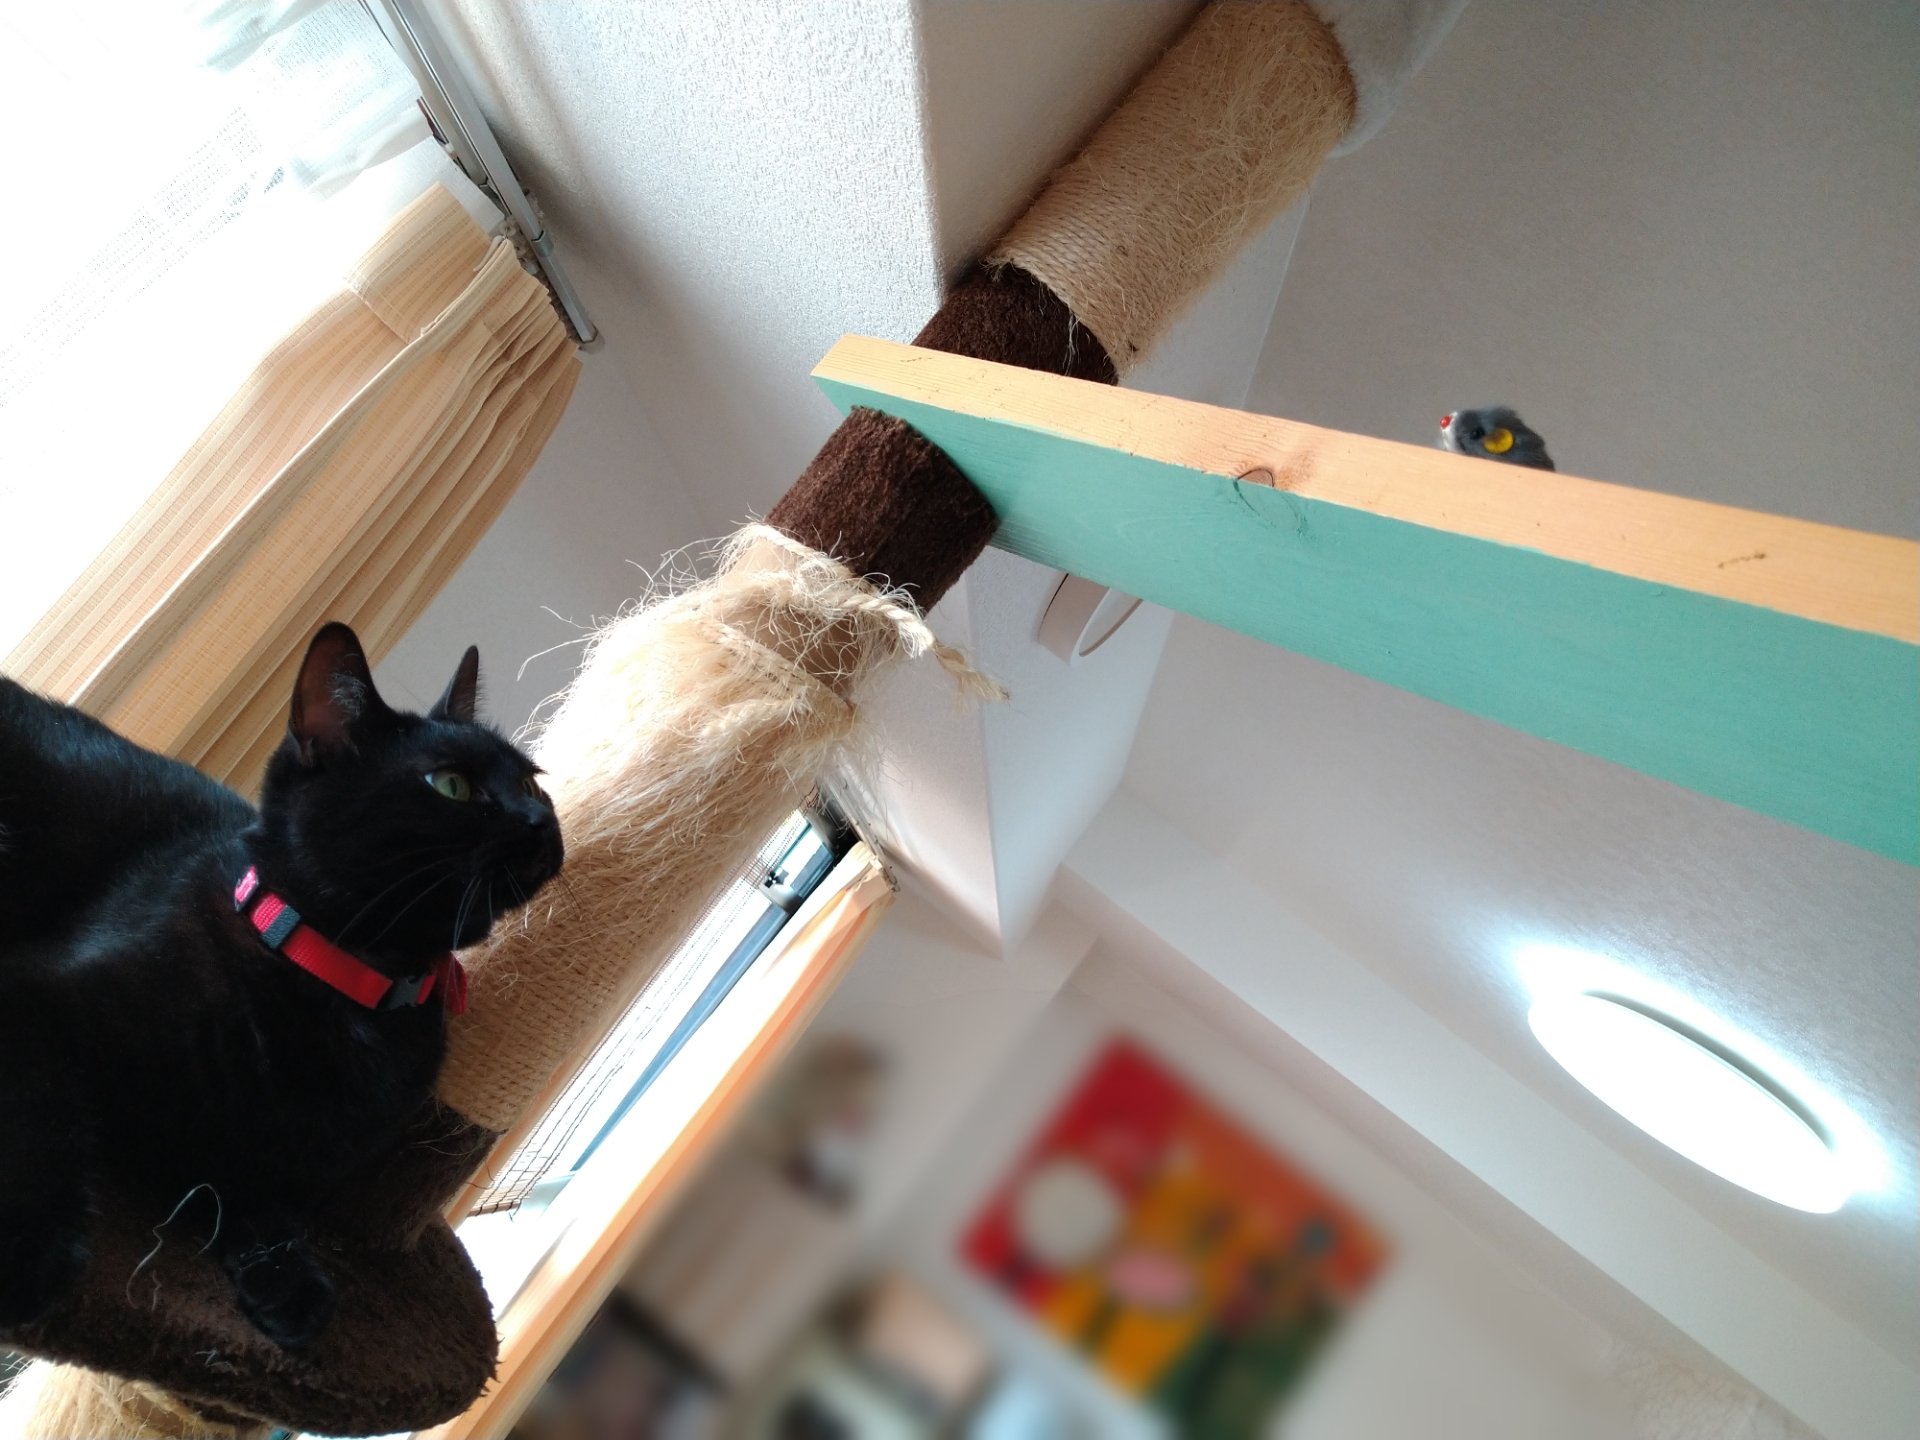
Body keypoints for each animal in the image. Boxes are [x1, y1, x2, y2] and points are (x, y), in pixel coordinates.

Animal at [0, 622, 563, 1350]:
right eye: (451, 785)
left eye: (530, 782)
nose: (541, 820)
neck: (346, 987)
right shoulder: (29, 991)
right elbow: (37, 1111)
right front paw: (29, 1249)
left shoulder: (277, 1161)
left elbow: (245, 1189)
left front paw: (288, 1283)